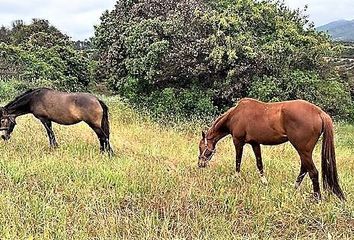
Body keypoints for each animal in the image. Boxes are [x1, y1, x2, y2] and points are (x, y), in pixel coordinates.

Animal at [199, 97, 346, 201]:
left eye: (201, 147)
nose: (200, 164)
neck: (235, 115)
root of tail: (319, 112)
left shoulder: (238, 142)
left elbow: (238, 162)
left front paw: (236, 178)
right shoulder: (255, 143)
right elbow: (259, 163)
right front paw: (264, 182)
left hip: (303, 150)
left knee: (313, 172)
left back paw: (317, 198)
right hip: (304, 151)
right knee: (304, 169)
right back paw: (293, 188)